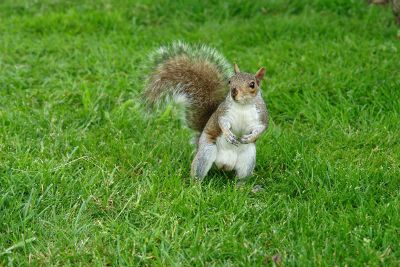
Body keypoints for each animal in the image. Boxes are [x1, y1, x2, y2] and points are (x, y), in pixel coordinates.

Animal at [144, 42, 268, 184]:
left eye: (252, 85)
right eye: (230, 81)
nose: (233, 92)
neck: (243, 106)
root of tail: (224, 165)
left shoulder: (262, 116)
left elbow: (262, 128)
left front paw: (250, 137)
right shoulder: (223, 112)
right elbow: (222, 123)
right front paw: (228, 135)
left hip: (248, 159)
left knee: (241, 177)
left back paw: (242, 186)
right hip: (207, 151)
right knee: (199, 170)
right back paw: (196, 186)